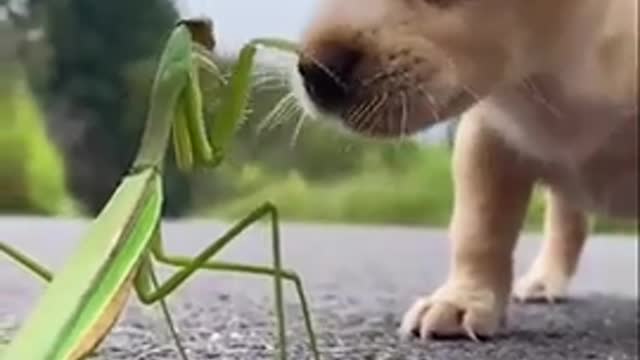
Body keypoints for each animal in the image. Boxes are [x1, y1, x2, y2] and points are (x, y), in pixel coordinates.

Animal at [292, 0, 636, 340]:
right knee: (567, 222)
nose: (315, 73)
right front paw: (461, 299)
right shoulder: (488, 137)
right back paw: (544, 280)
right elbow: (479, 229)